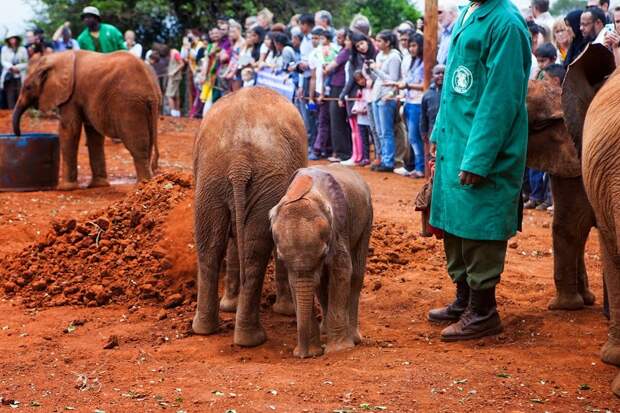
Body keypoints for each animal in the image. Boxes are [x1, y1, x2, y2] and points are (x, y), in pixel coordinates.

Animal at [12, 50, 161, 190]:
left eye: (28, 87)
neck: (57, 57)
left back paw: (141, 186)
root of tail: (151, 91)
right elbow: (93, 133)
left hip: (129, 105)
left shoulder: (71, 95)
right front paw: (98, 185)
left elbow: (69, 129)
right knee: (147, 143)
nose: (18, 135)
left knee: (137, 146)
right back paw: (145, 184)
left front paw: (65, 188)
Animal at [191, 87, 308, 348]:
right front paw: (285, 311)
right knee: (252, 252)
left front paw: (229, 306)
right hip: (251, 180)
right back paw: (251, 339)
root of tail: (239, 162)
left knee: (210, 245)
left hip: (211, 182)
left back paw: (206, 329)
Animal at [268, 165, 372, 358]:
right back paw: (326, 330)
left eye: (324, 254)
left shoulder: (338, 227)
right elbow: (296, 282)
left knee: (356, 276)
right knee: (322, 285)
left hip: (367, 218)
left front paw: (339, 350)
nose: (302, 356)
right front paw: (314, 350)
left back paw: (353, 338)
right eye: (280, 257)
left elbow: (342, 271)